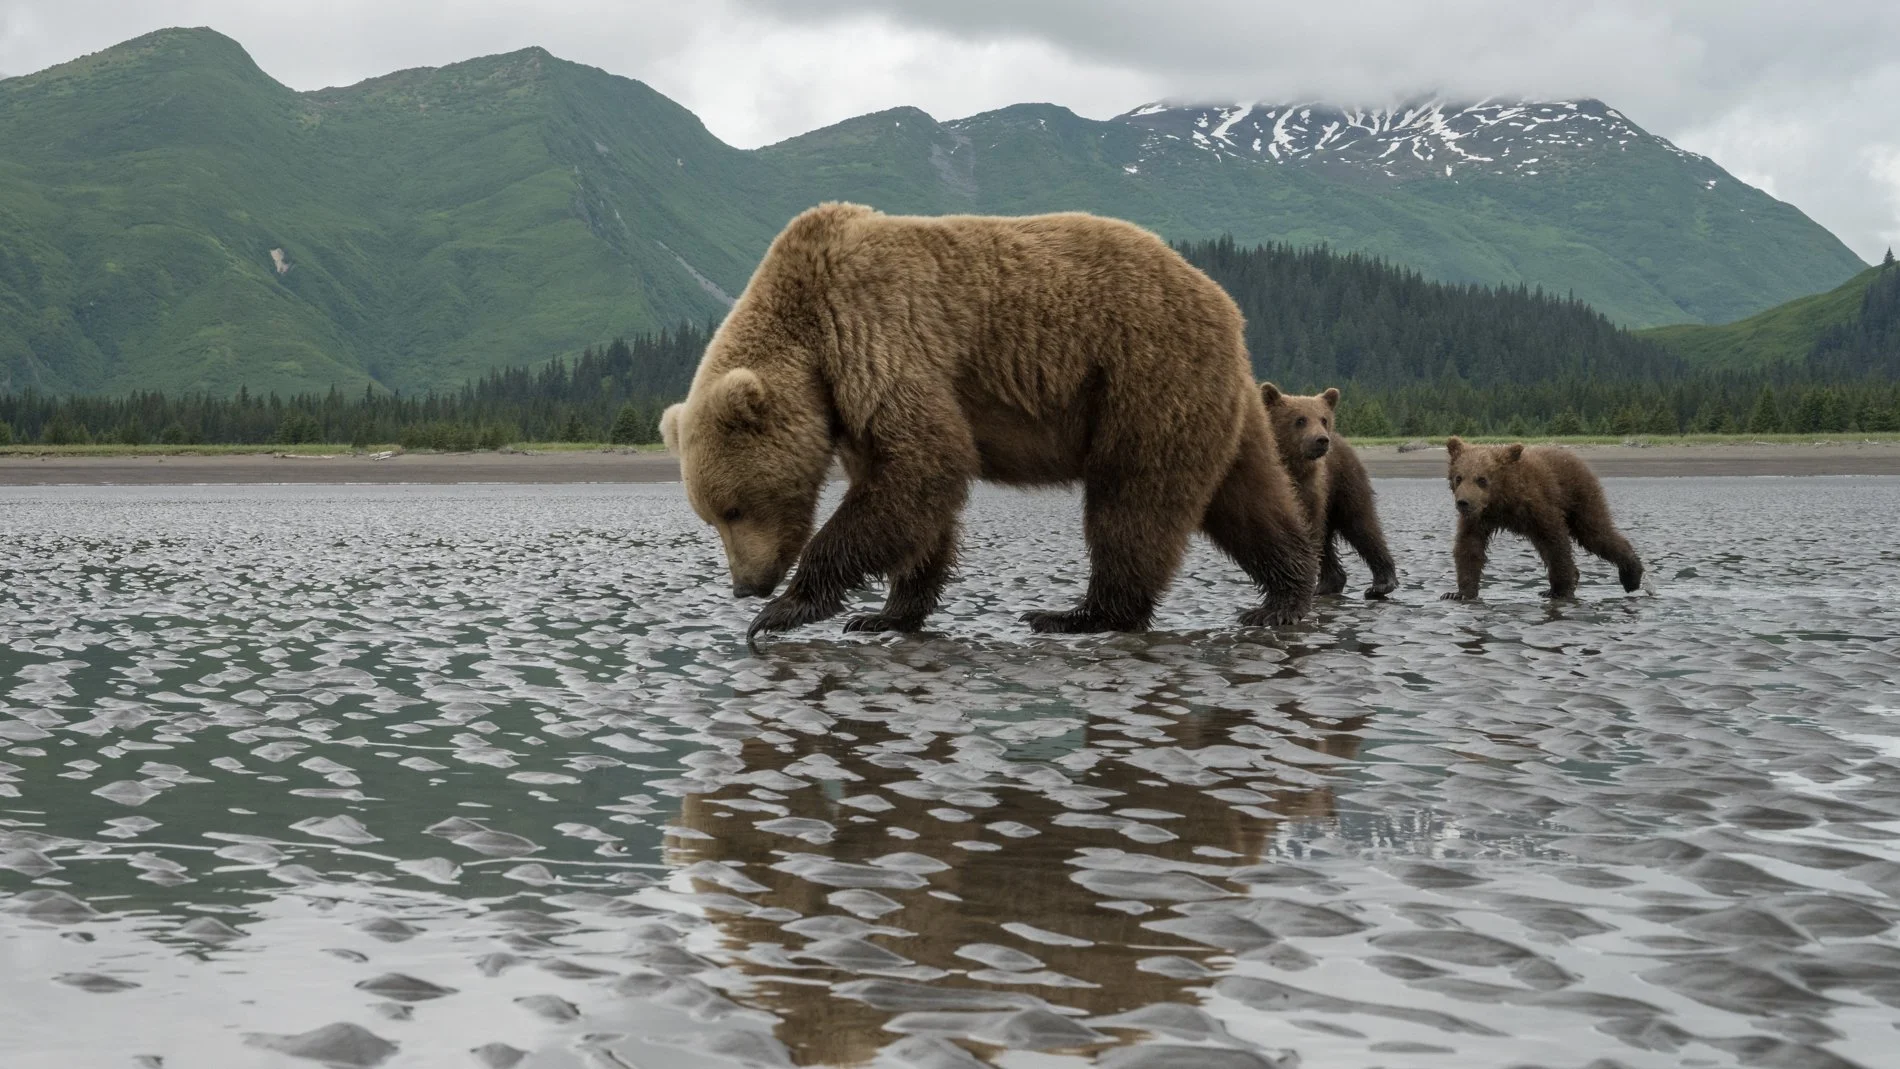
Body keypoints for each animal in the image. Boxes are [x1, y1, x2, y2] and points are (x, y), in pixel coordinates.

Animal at [659, 202, 1317, 638]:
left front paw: (785, 611)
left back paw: (1080, 613)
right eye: (709, 515)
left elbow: (926, 466)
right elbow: (914, 497)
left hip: (1145, 374)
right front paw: (886, 613)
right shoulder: (851, 404)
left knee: (1134, 499)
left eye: (733, 509)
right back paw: (1282, 596)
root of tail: (1224, 303)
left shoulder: (878, 339)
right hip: (1219, 400)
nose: (745, 585)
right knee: (1248, 497)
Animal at [1259, 383, 1399, 599]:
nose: (1321, 440)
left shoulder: (1311, 492)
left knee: (1362, 525)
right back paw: (1328, 584)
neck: (1295, 468)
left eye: (1323, 419)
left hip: (1344, 484)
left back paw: (1381, 584)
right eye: (1300, 419)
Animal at [1440, 436, 1644, 601]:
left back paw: (1631, 576)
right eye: (1459, 477)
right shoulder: (1478, 518)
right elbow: (1469, 547)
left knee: (1595, 533)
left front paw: (1560, 590)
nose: (1463, 502)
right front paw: (1457, 593)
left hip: (1580, 496)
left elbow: (1555, 542)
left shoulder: (1539, 505)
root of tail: (1574, 456)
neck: (1503, 501)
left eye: (1482, 479)